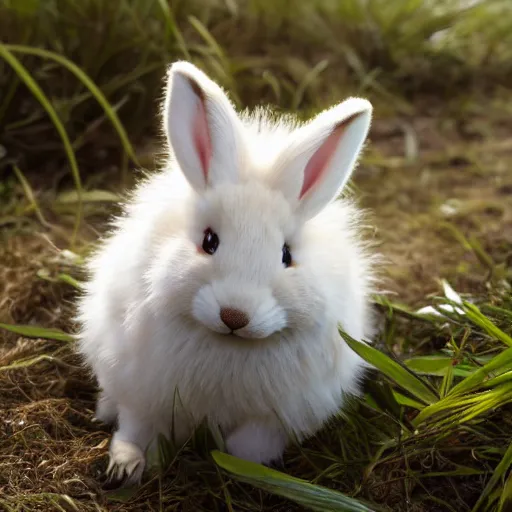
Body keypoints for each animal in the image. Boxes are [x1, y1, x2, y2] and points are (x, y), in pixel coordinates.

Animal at [77, 60, 380, 484]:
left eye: (286, 254)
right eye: (209, 241)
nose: (235, 315)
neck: (230, 346)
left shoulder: (276, 416)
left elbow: (251, 443)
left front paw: (241, 465)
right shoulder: (142, 392)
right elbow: (137, 429)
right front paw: (126, 465)